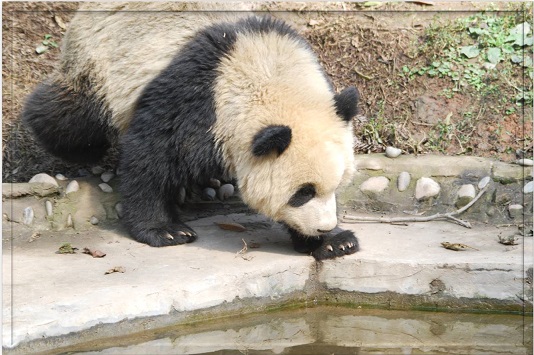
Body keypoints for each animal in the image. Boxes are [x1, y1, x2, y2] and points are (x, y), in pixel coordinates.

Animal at [23, 2, 362, 262]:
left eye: (337, 186)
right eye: (302, 193)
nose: (323, 227)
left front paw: (335, 242)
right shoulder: (194, 96)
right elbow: (151, 156)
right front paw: (165, 230)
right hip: (98, 62)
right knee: (70, 117)